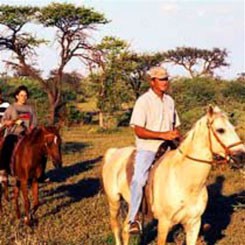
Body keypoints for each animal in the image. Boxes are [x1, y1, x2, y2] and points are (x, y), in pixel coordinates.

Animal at [102, 106, 245, 245]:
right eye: (220, 130)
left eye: (233, 128)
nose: (241, 156)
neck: (184, 182)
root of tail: (114, 152)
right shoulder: (164, 224)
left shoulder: (194, 224)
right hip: (114, 201)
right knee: (116, 227)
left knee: (126, 230)